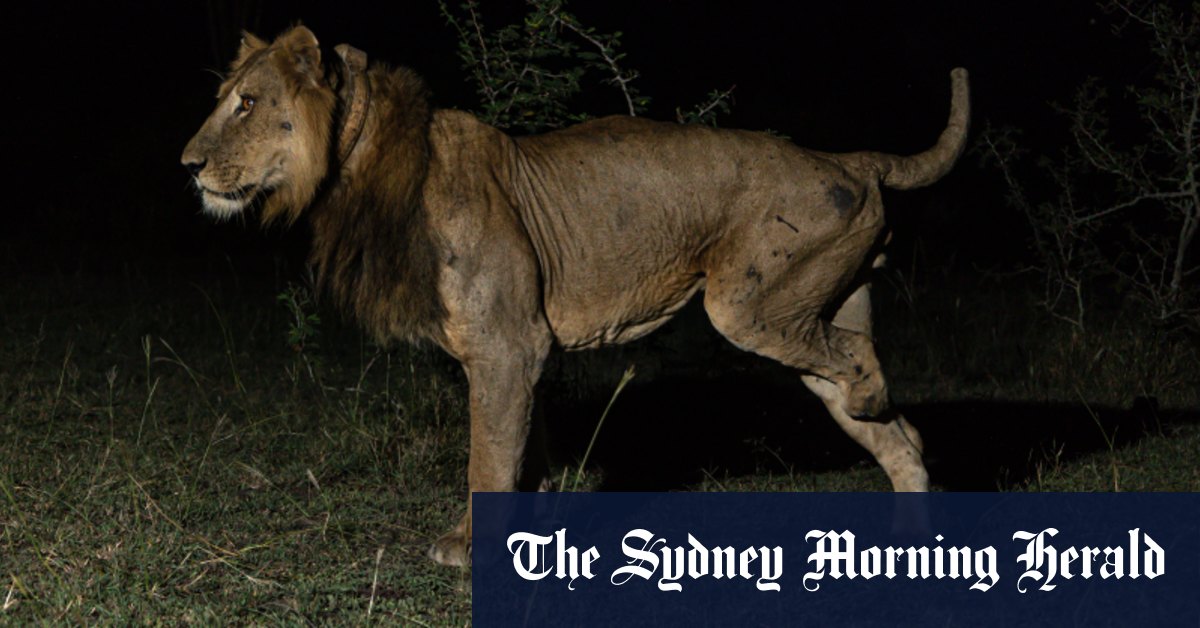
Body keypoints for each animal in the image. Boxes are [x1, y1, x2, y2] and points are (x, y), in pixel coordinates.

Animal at [183, 25, 969, 567]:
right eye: (225, 100)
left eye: (246, 104)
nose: (187, 165)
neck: (360, 167)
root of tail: (847, 158)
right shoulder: (514, 353)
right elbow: (521, 447)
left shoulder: (508, 346)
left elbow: (487, 457)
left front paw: (469, 550)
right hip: (811, 308)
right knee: (892, 432)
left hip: (749, 305)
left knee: (863, 368)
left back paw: (876, 405)